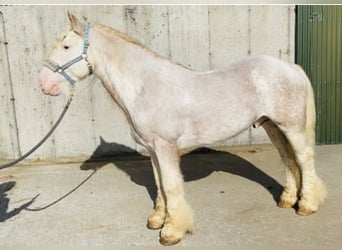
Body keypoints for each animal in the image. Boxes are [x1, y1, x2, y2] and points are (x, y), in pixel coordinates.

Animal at [39, 12, 326, 245]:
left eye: (66, 45)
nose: (44, 84)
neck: (144, 86)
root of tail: (291, 67)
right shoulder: (153, 150)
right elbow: (160, 185)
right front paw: (157, 219)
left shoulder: (165, 147)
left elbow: (171, 185)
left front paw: (172, 231)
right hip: (273, 126)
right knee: (288, 160)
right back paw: (287, 200)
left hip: (291, 127)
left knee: (304, 160)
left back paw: (307, 205)